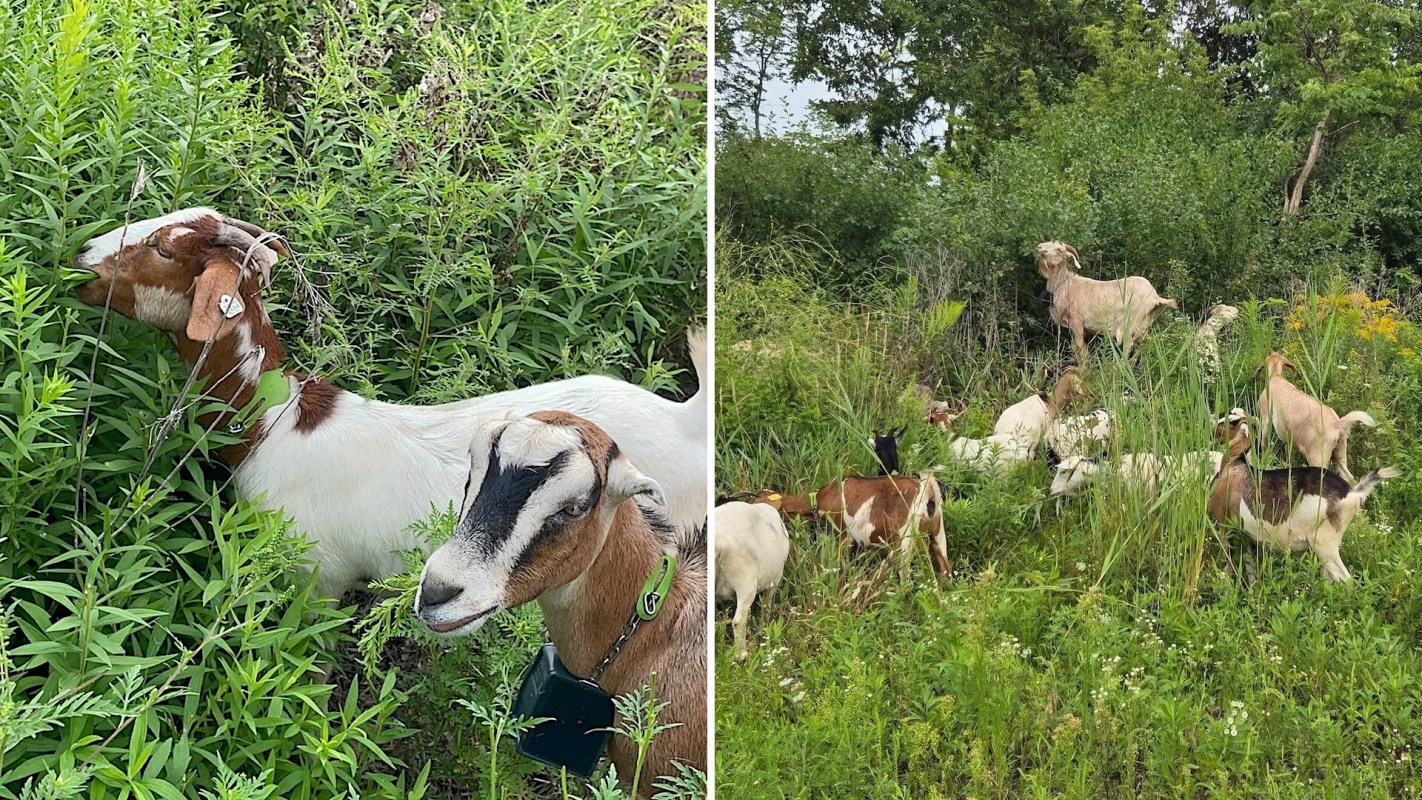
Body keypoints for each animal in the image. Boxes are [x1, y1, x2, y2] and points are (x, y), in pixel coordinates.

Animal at [714, 501, 790, 662]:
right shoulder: (774, 581)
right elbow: (766, 607)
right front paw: (764, 630)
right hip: (745, 579)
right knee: (739, 620)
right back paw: (741, 655)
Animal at [1035, 241, 1177, 356]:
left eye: (1059, 249)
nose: (1039, 249)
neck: (1065, 286)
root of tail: (1155, 297)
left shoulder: (1077, 321)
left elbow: (1081, 350)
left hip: (1130, 324)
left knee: (1128, 348)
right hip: (1144, 324)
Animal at [1256, 352, 1376, 482]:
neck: (1276, 377)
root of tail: (1337, 424)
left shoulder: (1265, 418)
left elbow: (1264, 443)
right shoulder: (1289, 439)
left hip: (1318, 458)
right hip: (1340, 454)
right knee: (1350, 479)